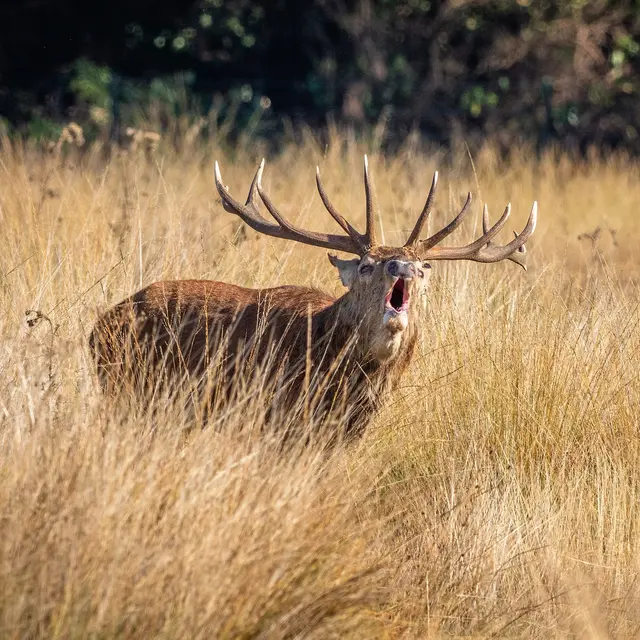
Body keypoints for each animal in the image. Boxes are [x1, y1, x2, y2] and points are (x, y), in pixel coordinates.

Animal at [89, 156, 537, 439]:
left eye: (424, 269)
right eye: (366, 265)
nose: (402, 267)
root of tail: (96, 326)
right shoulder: (272, 417)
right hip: (126, 388)